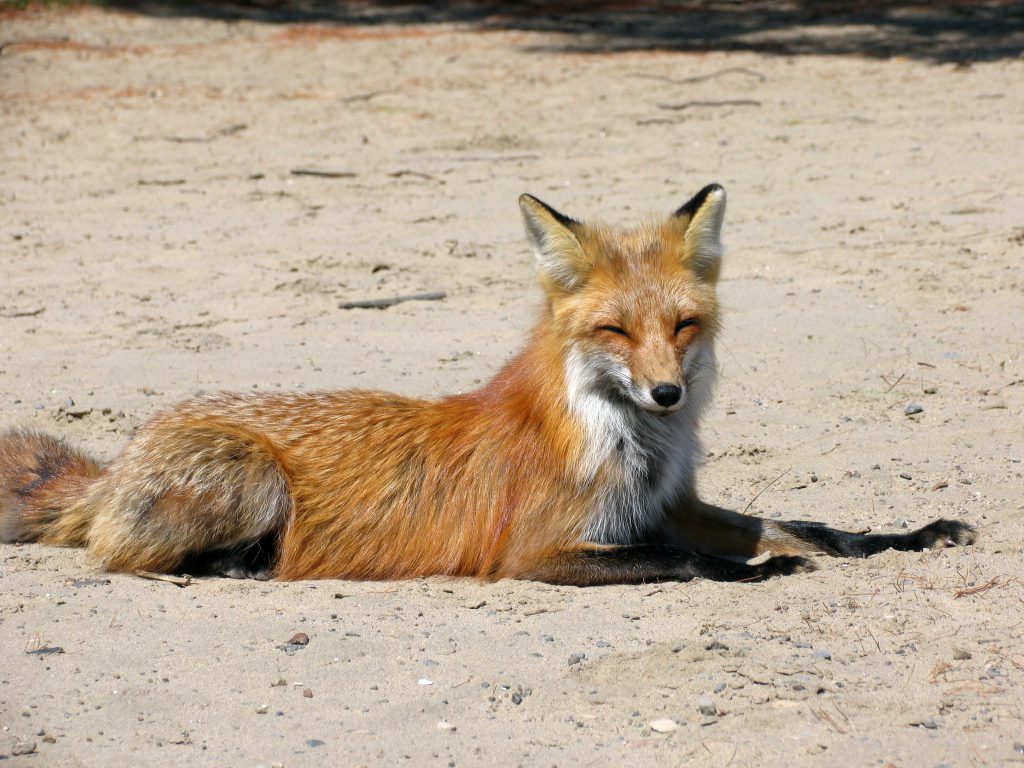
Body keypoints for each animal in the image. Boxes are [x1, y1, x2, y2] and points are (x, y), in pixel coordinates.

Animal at [2, 186, 974, 581]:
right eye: (615, 331)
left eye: (683, 326)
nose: (666, 395)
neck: (631, 445)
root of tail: (119, 461)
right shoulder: (538, 552)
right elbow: (691, 561)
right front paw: (763, 571)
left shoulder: (670, 504)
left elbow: (815, 524)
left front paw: (910, 535)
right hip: (253, 479)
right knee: (118, 556)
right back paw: (239, 564)